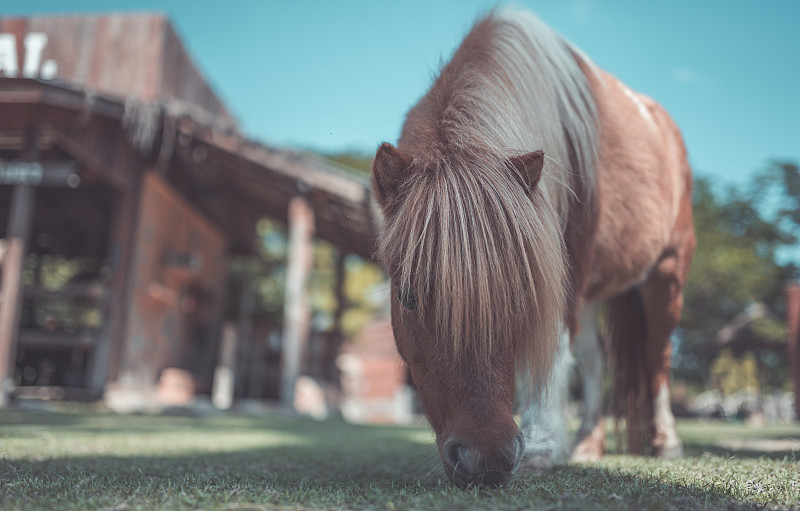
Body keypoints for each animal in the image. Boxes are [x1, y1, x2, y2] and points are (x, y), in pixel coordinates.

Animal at [368, 9, 692, 488]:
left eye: (521, 292)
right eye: (406, 296)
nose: (485, 459)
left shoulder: (566, 266)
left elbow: (553, 349)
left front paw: (540, 446)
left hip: (667, 272)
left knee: (657, 355)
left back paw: (666, 441)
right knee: (595, 361)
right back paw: (588, 444)